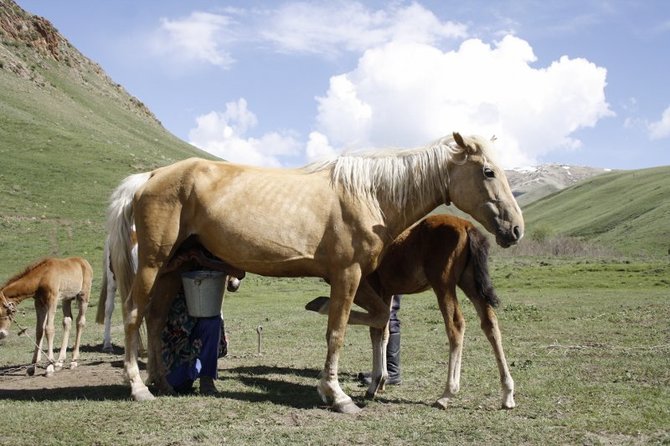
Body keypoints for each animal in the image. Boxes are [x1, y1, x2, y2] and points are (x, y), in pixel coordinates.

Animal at [308, 214, 516, 410]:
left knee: (456, 325)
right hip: (469, 282)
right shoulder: (387, 292)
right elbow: (383, 331)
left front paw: (375, 383)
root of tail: (468, 226)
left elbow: (375, 328)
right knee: (490, 323)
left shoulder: (370, 287)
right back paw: (507, 393)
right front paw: (381, 382)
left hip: (443, 284)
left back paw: (447, 394)